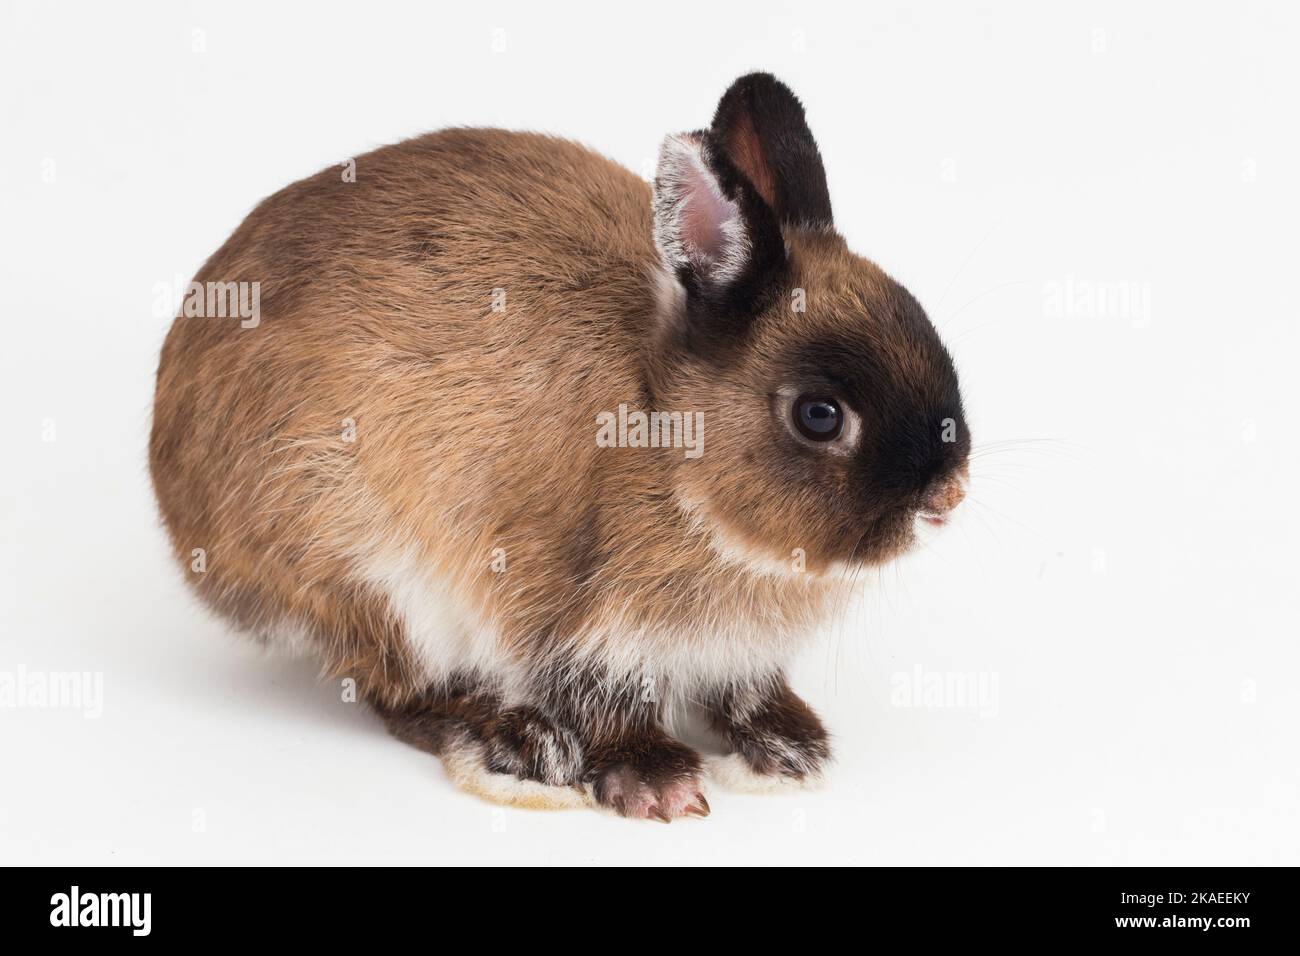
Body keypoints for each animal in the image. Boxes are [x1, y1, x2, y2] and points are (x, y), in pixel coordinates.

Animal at [149, 74, 967, 822]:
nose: (946, 498)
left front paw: (790, 750)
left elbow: (742, 691)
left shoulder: (731, 655)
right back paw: (516, 746)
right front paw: (659, 783)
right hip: (371, 574)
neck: (667, 434)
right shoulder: (573, 615)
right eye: (819, 416)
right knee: (404, 693)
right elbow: (595, 697)